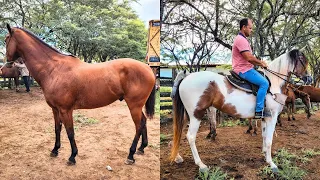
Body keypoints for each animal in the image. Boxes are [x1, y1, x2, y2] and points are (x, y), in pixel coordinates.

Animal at [4, 24, 155, 165]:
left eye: (6, 39)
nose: (7, 64)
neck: (53, 69)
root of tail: (147, 68)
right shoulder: (55, 109)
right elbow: (57, 129)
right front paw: (55, 150)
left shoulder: (65, 110)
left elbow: (70, 132)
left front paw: (72, 156)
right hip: (137, 106)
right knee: (144, 122)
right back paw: (142, 148)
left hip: (134, 105)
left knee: (139, 126)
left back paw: (131, 155)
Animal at [170, 48, 308, 172]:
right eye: (302, 60)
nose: (309, 78)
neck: (273, 84)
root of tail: (186, 78)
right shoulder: (272, 117)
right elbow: (269, 140)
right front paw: (271, 163)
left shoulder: (265, 117)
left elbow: (264, 136)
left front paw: (264, 155)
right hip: (196, 115)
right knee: (190, 137)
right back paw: (201, 164)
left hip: (186, 115)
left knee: (179, 131)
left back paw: (177, 157)